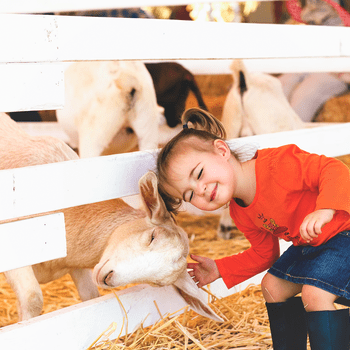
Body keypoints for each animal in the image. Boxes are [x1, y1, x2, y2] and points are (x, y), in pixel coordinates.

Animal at [0, 113, 221, 322]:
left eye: (157, 283)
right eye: (152, 236)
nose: (108, 277)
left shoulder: (75, 264)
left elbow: (90, 296)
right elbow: (32, 298)